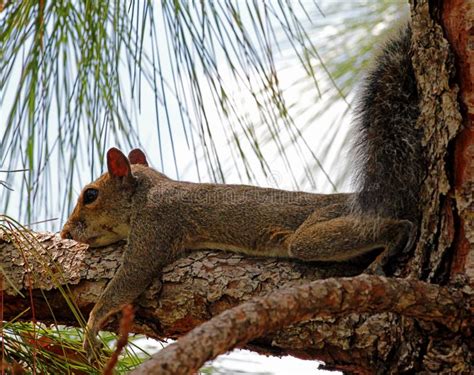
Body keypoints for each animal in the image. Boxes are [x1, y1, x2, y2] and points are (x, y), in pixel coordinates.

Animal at [60, 25, 422, 360]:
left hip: (321, 228)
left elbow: (132, 276)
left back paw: (393, 241)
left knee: (373, 230)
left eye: (90, 195)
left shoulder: (156, 224)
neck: (147, 191)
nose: (65, 232)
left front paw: (91, 326)